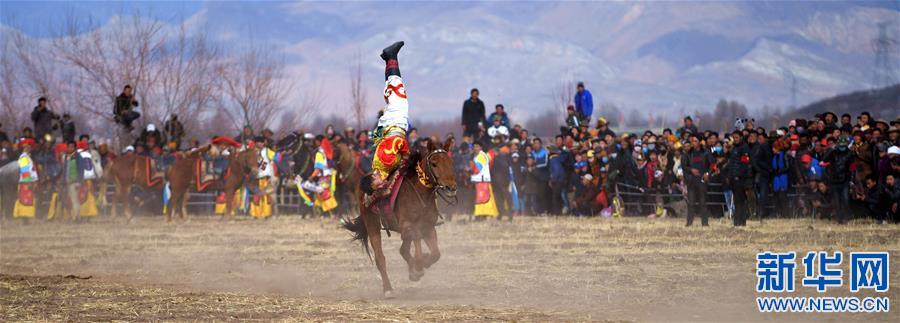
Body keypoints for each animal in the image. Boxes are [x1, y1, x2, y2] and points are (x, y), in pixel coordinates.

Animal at [342, 140, 460, 298]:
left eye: (450, 162)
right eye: (434, 163)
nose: (451, 187)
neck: (420, 193)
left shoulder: (428, 228)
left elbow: (435, 254)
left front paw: (420, 265)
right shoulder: (409, 226)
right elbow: (414, 246)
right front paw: (418, 267)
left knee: (404, 248)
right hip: (372, 224)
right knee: (380, 258)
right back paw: (388, 289)